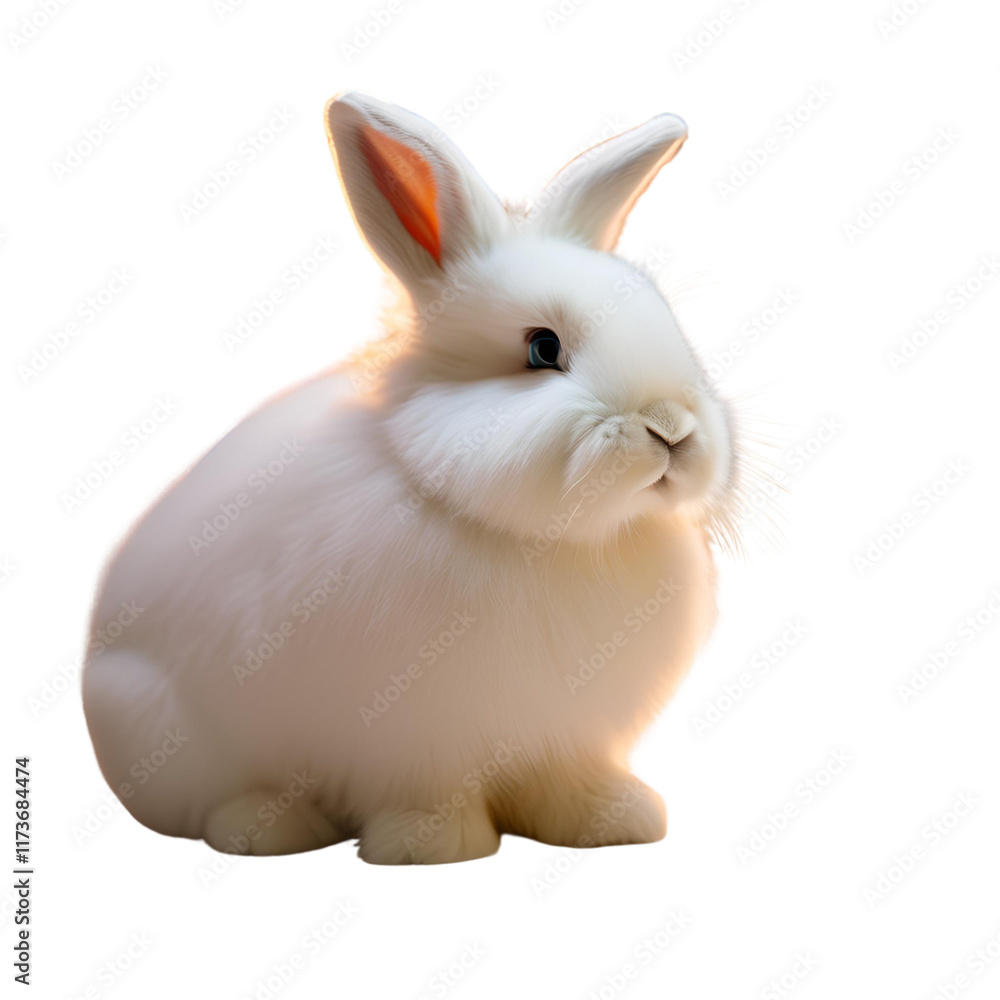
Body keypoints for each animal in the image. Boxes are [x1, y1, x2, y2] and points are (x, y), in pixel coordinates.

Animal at [82, 91, 736, 865]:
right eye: (543, 349)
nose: (673, 428)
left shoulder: (565, 734)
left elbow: (567, 781)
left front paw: (615, 820)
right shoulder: (411, 734)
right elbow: (428, 792)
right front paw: (432, 847)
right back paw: (270, 827)